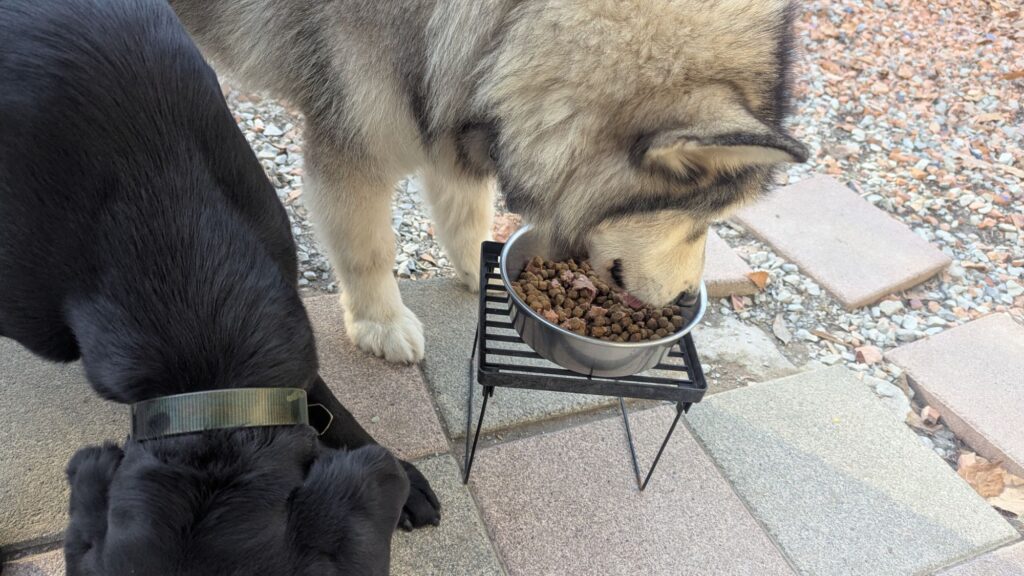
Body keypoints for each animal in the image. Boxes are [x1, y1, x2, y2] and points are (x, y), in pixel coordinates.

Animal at [168, 0, 808, 364]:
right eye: (705, 218)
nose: (681, 299)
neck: (511, 24)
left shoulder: (451, 108)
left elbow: (467, 215)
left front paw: (484, 272)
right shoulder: (352, 147)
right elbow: (370, 249)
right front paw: (380, 323)